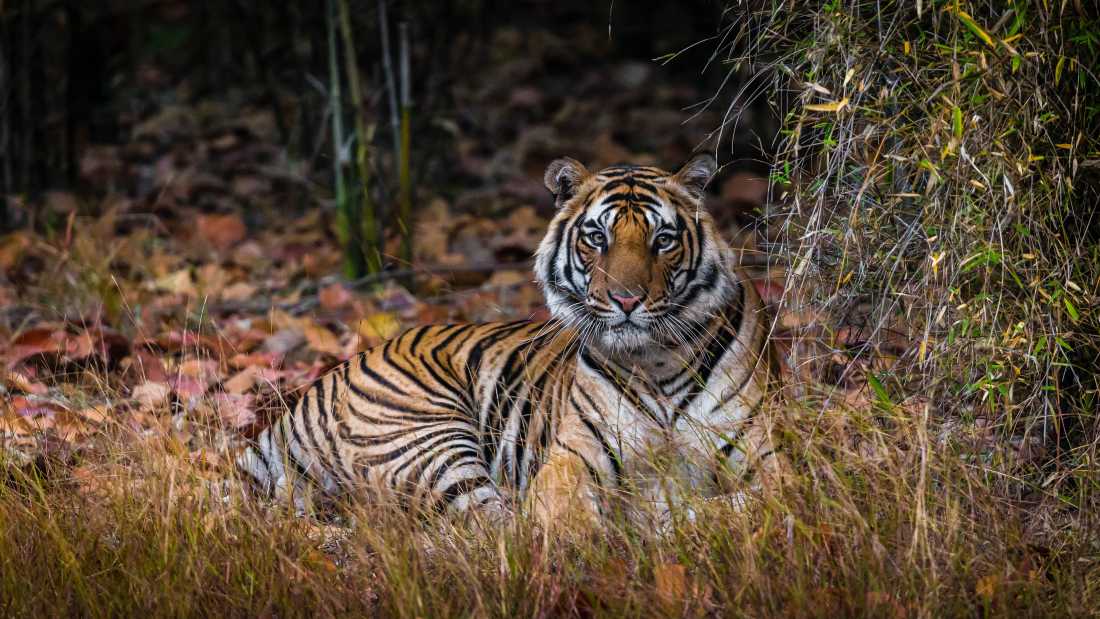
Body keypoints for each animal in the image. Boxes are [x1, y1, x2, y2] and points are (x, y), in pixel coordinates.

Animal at [237, 154, 780, 527]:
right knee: (487, 526)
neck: (656, 361)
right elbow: (564, 515)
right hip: (428, 438)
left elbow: (738, 507)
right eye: (597, 238)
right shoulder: (571, 459)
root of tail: (310, 392)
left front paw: (663, 516)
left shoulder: (771, 461)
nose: (626, 300)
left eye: (662, 240)